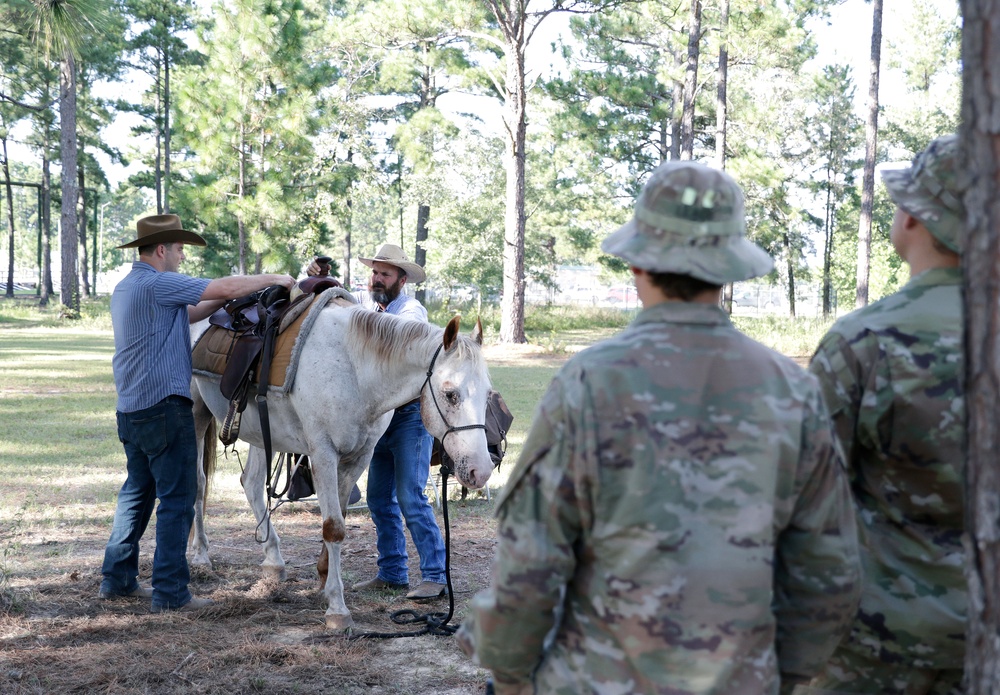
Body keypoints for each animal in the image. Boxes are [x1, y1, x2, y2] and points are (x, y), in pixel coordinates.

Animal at [188, 304, 492, 632]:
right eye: (451, 394)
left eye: (488, 394)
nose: (482, 471)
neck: (355, 371)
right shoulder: (323, 453)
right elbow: (333, 527)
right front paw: (337, 608)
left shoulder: (359, 457)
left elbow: (340, 518)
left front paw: (323, 580)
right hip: (195, 412)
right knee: (198, 483)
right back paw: (201, 555)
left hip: (261, 431)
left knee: (252, 484)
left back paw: (274, 560)